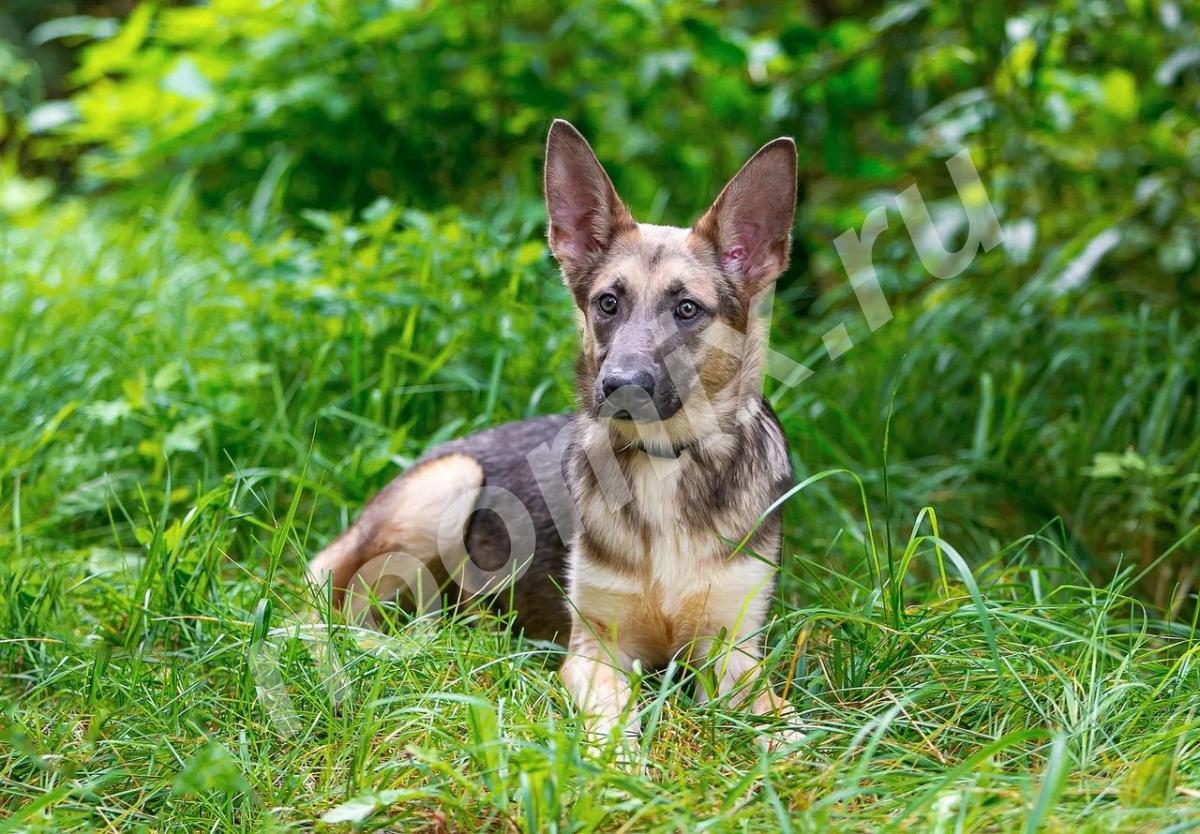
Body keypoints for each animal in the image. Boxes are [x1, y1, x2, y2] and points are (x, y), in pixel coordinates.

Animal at [309, 117, 796, 744]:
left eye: (687, 309)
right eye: (607, 303)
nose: (620, 387)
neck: (664, 460)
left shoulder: (734, 653)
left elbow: (787, 728)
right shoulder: (596, 651)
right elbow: (614, 723)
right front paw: (621, 764)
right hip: (448, 484)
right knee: (348, 612)